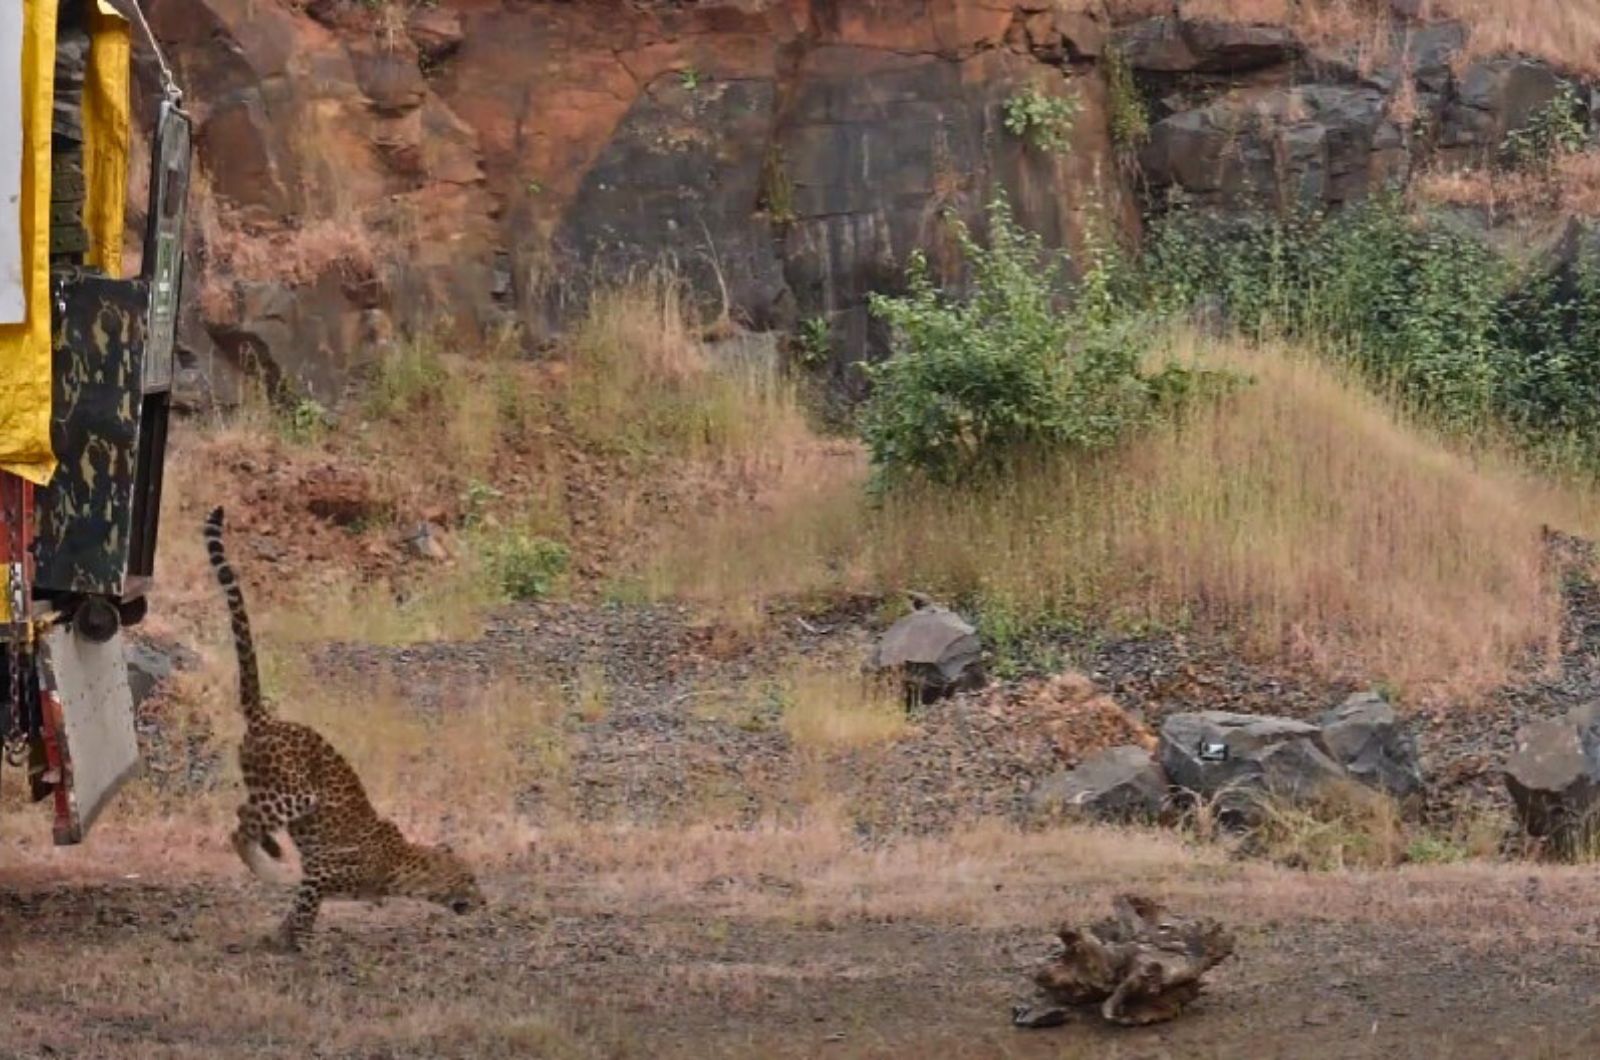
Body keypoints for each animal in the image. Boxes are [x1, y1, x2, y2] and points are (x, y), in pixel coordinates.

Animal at [203, 509, 483, 954]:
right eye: (468, 879)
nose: (484, 900)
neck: (404, 865)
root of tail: (266, 717)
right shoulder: (322, 873)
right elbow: (305, 905)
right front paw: (299, 942)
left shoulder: (320, 875)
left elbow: (301, 907)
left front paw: (281, 935)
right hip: (295, 792)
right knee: (240, 821)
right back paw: (269, 868)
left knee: (247, 815)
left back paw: (272, 849)